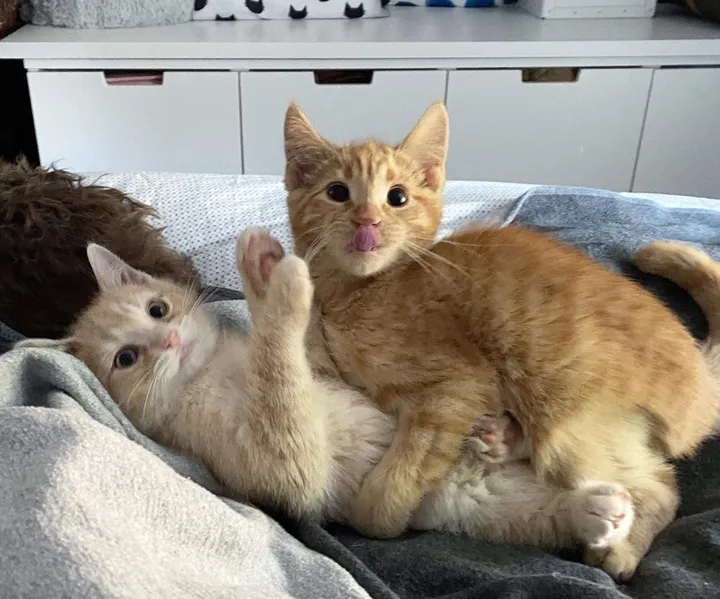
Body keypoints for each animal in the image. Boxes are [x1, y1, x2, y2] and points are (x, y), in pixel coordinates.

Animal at [18, 233, 632, 556]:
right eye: (126, 358)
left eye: (157, 308)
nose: (168, 339)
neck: (214, 368)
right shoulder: (274, 463)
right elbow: (279, 374)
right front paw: (284, 291)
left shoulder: (325, 370)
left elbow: (305, 353)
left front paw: (265, 272)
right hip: (472, 505)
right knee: (531, 515)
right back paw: (591, 510)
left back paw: (503, 436)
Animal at [280, 103, 720, 580]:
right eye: (337, 192)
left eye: (397, 198)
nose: (367, 220)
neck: (363, 289)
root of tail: (700, 375)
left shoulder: (455, 388)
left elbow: (389, 491)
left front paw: (383, 515)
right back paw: (502, 438)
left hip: (569, 420)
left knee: (660, 487)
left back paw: (620, 551)